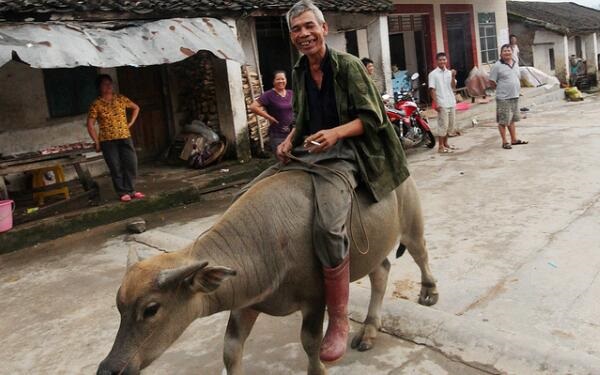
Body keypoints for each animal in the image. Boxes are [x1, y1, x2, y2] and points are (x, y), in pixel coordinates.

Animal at [97, 172, 436, 374]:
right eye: (118, 309)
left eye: (151, 309)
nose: (109, 369)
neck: (265, 243)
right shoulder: (245, 304)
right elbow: (230, 351)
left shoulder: (314, 300)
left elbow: (310, 342)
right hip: (371, 251)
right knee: (382, 272)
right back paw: (369, 329)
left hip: (411, 222)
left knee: (419, 252)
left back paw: (429, 291)